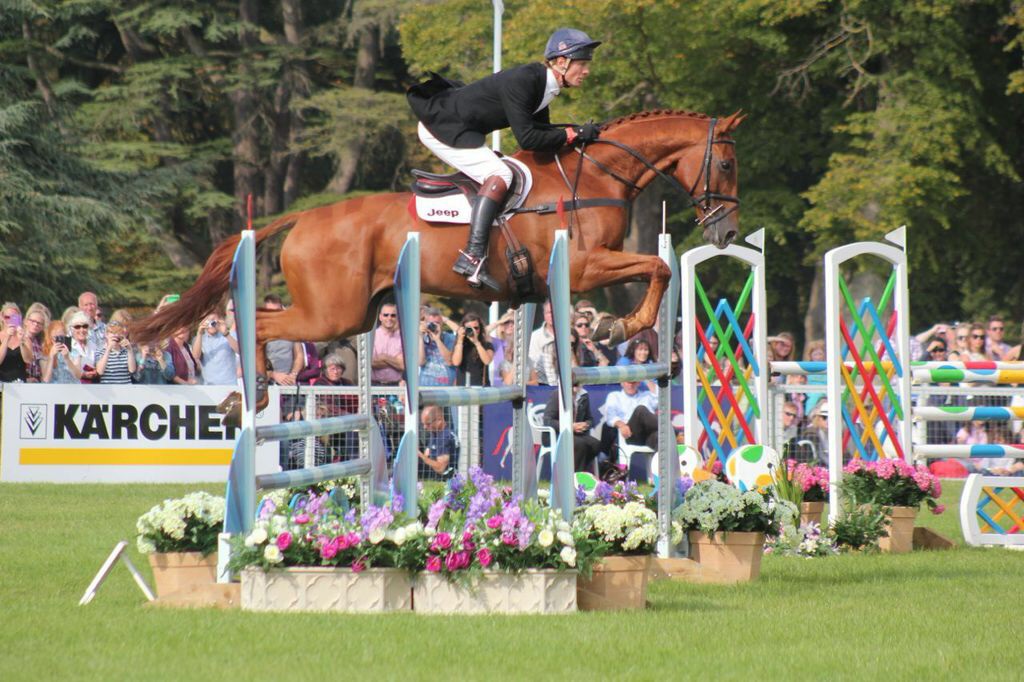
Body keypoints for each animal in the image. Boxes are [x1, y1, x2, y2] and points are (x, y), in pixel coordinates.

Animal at [134, 109, 745, 368]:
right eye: (727, 163)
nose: (728, 231)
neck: (593, 177)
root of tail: (305, 219)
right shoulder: (583, 267)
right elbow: (658, 267)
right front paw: (620, 327)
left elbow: (657, 268)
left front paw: (618, 325)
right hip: (331, 315)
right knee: (259, 324)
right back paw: (255, 388)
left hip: (352, 313)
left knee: (260, 319)